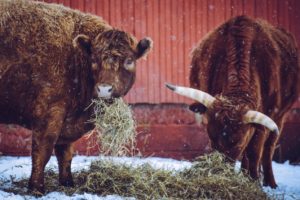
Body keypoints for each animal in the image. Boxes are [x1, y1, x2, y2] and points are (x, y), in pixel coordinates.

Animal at [0, 0, 152, 194]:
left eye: (129, 60)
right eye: (93, 59)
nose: (104, 89)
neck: (74, 57)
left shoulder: (66, 123)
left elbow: (65, 154)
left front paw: (67, 183)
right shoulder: (48, 116)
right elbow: (43, 152)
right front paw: (37, 188)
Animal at [168, 15, 298, 188]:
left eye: (238, 144)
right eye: (212, 139)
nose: (220, 172)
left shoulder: (263, 123)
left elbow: (254, 151)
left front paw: (254, 182)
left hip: (281, 116)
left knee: (268, 148)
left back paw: (270, 182)